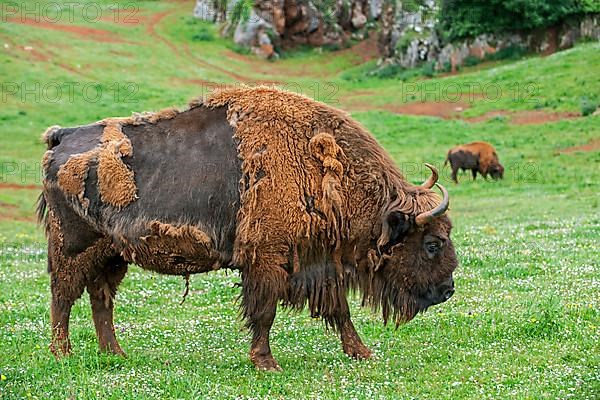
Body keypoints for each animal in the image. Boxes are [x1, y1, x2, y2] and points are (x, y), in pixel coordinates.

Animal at [38, 86, 460, 372]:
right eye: (433, 243)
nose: (448, 289)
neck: (317, 164)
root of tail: (62, 137)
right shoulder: (266, 260)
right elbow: (265, 312)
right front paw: (266, 362)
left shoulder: (318, 262)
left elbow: (339, 310)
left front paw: (362, 352)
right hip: (74, 247)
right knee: (64, 295)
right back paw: (62, 353)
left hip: (113, 254)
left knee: (100, 298)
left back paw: (116, 353)